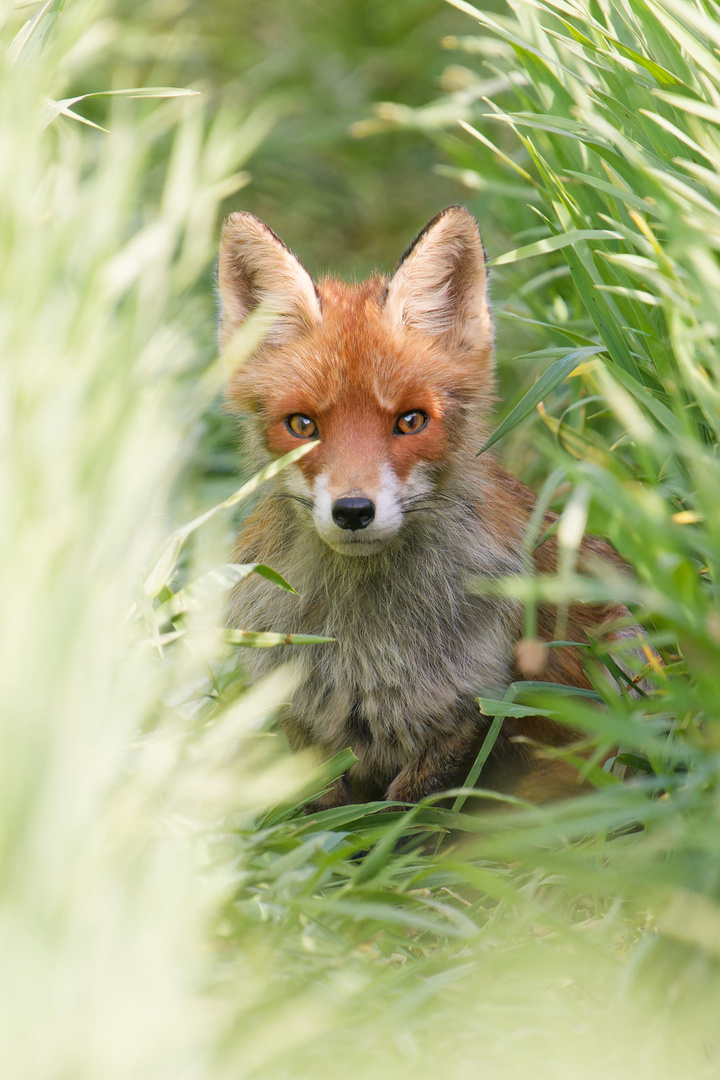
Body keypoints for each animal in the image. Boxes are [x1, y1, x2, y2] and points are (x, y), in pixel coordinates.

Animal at [218, 206, 643, 807]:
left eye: (411, 420)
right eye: (302, 425)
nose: (354, 510)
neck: (363, 643)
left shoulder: (468, 707)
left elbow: (411, 816)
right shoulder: (303, 720)